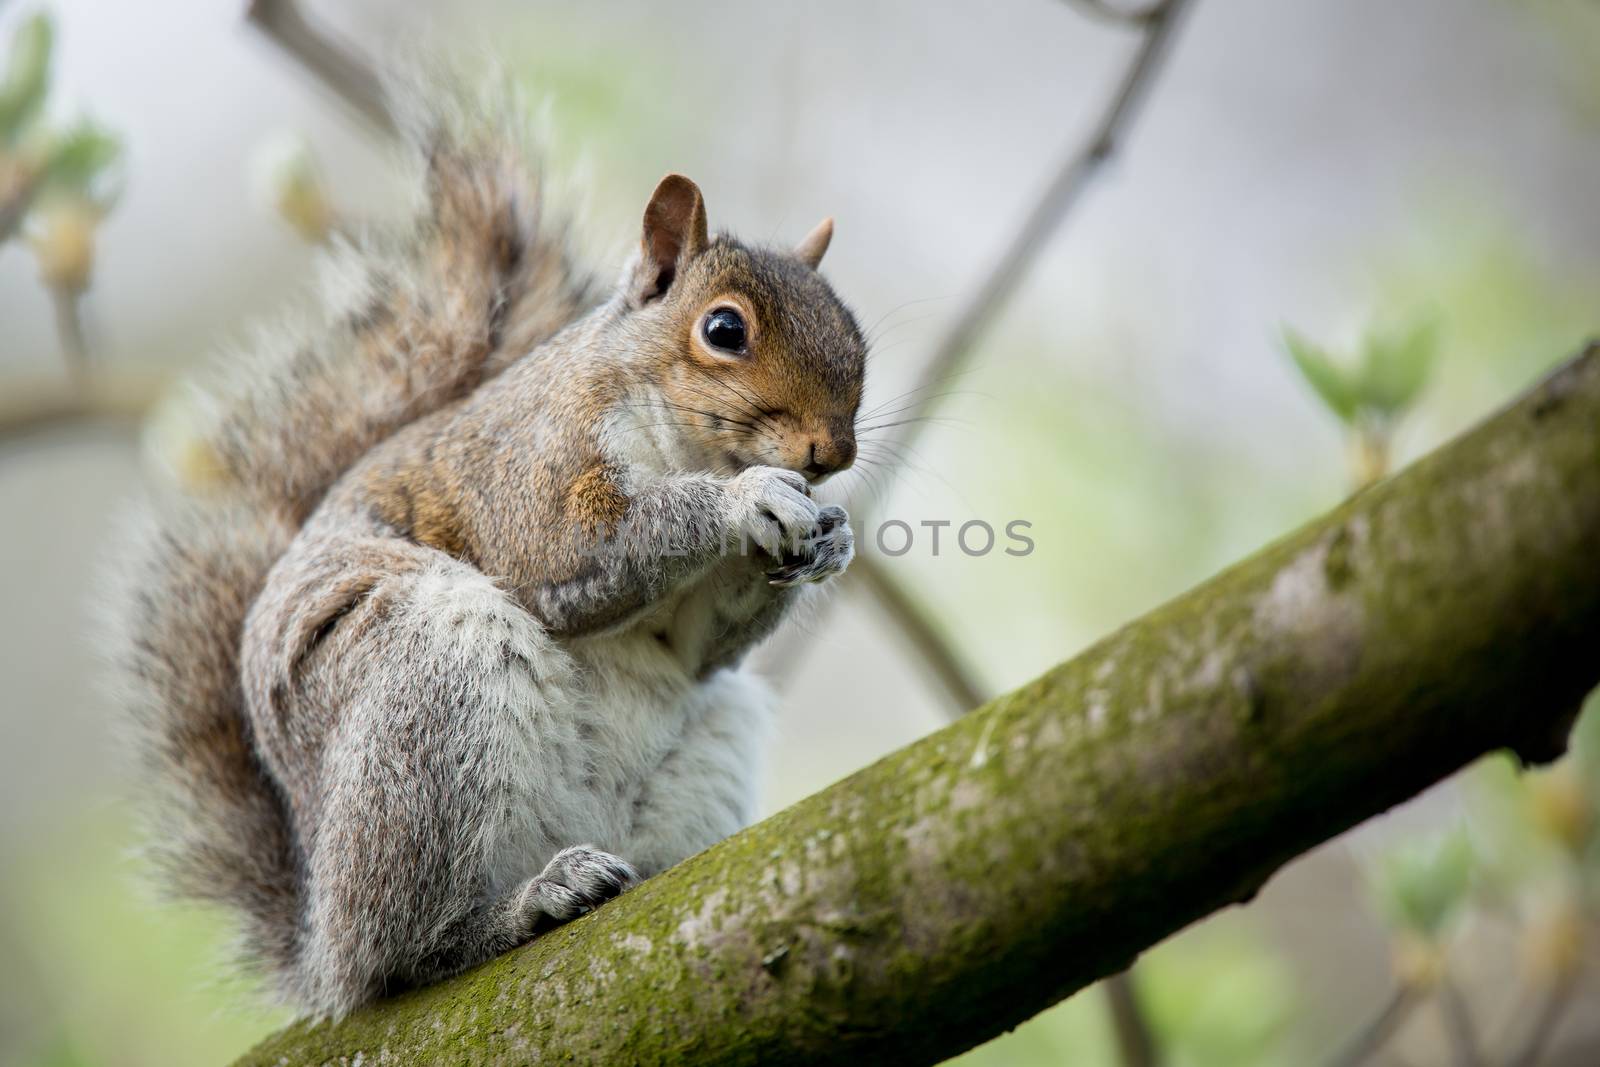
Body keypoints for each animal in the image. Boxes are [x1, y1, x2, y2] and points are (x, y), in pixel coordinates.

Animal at [106, 91, 864, 1017]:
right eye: (724, 329)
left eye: (854, 334)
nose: (831, 452)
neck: (680, 442)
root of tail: (321, 945)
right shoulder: (529, 474)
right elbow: (581, 552)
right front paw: (745, 500)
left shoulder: (695, 632)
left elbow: (699, 645)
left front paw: (831, 534)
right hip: (428, 702)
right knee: (399, 956)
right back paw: (520, 907)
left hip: (708, 741)